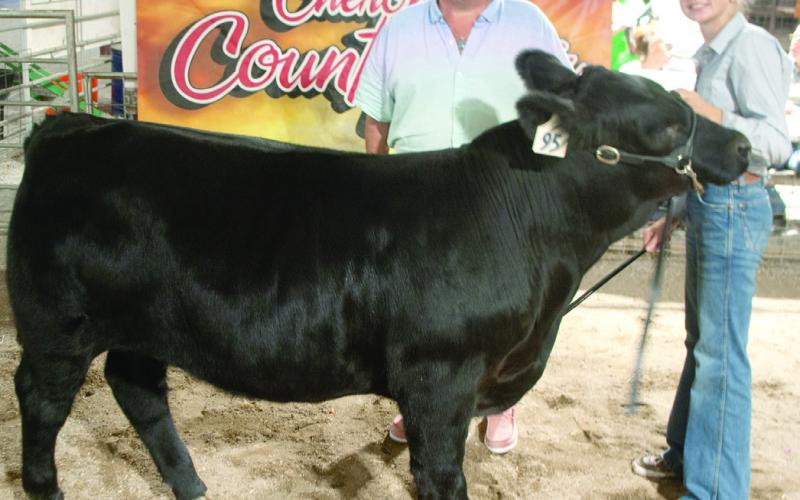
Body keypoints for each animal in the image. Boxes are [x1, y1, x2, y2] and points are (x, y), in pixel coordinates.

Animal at [7, 50, 749, 500]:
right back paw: (46, 486)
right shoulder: (440, 373)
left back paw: (191, 485)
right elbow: (441, 472)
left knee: (138, 390)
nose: (742, 146)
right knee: (42, 399)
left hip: (144, 323)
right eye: (665, 126)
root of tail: (70, 129)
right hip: (56, 325)